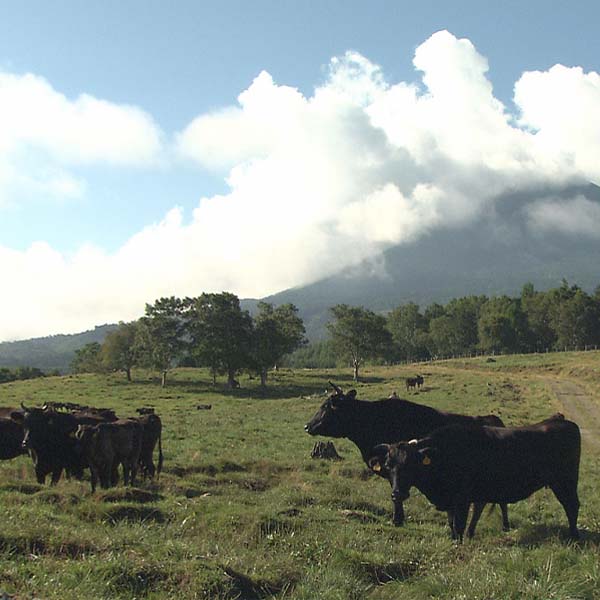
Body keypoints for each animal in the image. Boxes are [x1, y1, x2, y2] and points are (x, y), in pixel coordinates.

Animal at [370, 414, 580, 540]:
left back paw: (574, 536)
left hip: (565, 482)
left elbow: (459, 525)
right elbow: (451, 524)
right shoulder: (450, 501)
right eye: (388, 466)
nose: (397, 494)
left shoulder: (463, 500)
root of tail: (561, 420)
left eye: (411, 465)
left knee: (572, 506)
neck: (444, 453)